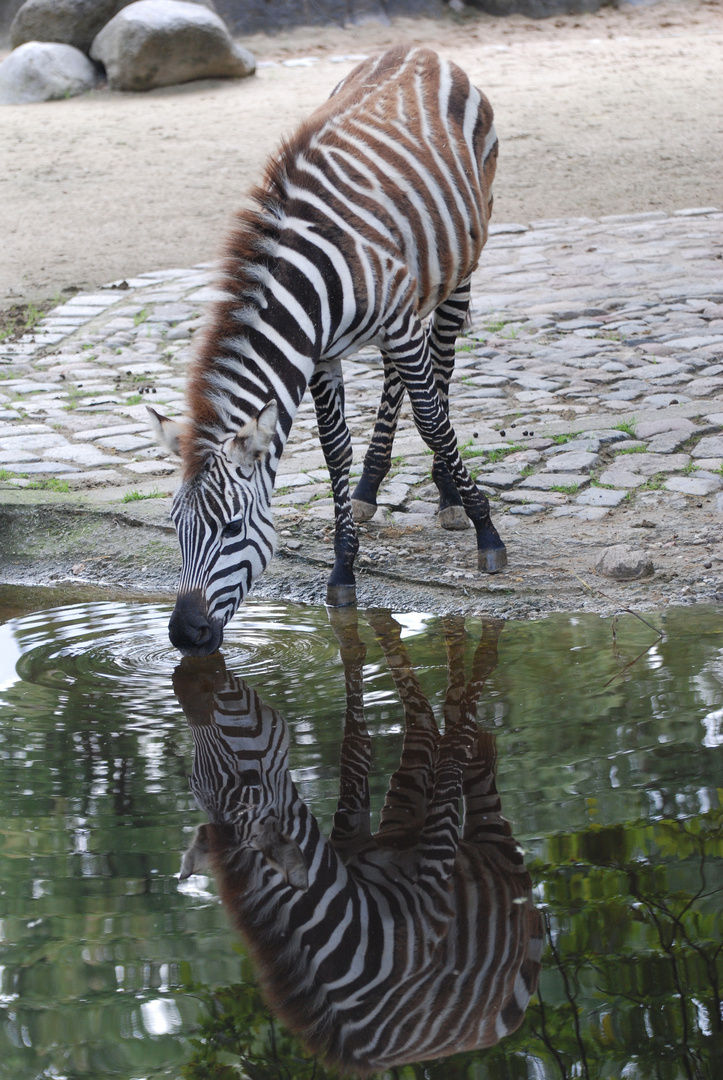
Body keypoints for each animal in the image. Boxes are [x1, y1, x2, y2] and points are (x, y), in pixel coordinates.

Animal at [149, 44, 505, 656]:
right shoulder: (320, 356)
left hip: (458, 270)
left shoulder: (398, 325)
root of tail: (420, 49)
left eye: (232, 529)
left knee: (441, 366)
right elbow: (335, 449)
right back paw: (370, 486)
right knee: (398, 376)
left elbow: (433, 419)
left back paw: (448, 495)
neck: (309, 285)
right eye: (176, 527)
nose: (185, 635)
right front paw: (342, 568)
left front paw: (486, 529)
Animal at [175, 613, 538, 1075]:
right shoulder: (394, 863)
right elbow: (370, 750)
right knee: (445, 755)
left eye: (248, 780)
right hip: (434, 822)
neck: (356, 931)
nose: (192, 693)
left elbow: (391, 747)